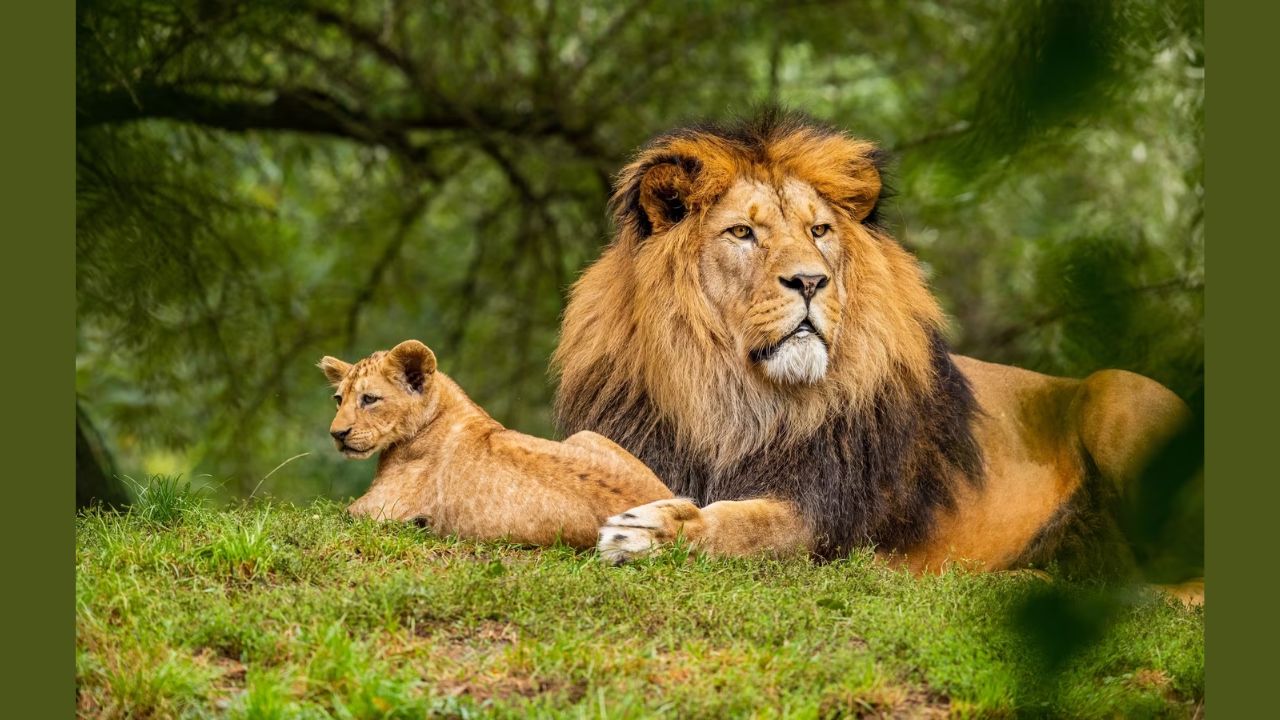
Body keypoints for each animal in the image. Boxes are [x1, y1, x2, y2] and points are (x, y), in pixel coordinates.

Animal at [318, 339, 673, 547]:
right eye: (338, 399)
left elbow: (334, 515)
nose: (337, 433)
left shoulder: (377, 509)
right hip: (585, 434)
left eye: (369, 399)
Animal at [552, 109, 1199, 594]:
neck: (733, 397)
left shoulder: (827, 516)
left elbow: (744, 525)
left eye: (819, 231)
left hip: (1116, 392)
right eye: (742, 233)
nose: (811, 281)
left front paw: (651, 532)